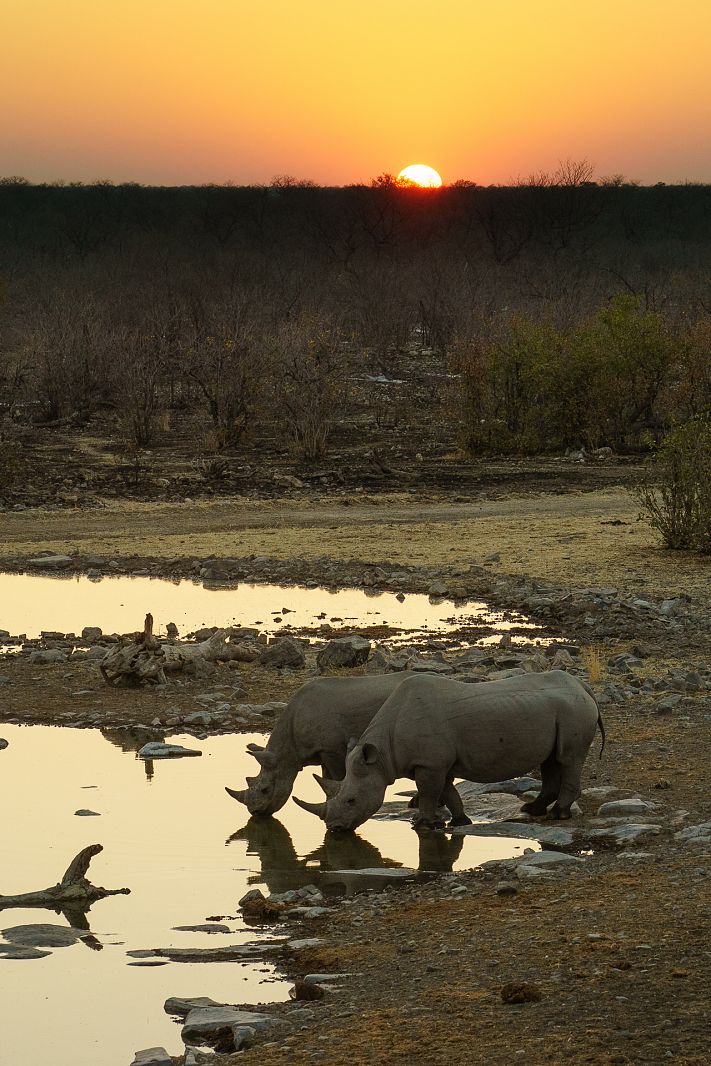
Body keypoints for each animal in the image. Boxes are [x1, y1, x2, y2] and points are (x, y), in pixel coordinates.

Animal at [224, 673, 417, 814]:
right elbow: (326, 779)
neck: (288, 751)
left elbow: (337, 777)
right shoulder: (322, 751)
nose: (255, 812)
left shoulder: (332, 750)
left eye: (264, 790)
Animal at [294, 665, 605, 831]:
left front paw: (422, 824)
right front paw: (460, 821)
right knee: (551, 760)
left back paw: (558, 814)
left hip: (573, 709)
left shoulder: (429, 764)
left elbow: (430, 792)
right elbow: (446, 791)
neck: (381, 756)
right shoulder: (435, 762)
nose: (334, 829)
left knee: (569, 759)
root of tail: (583, 687)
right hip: (562, 710)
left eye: (351, 801)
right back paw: (533, 809)